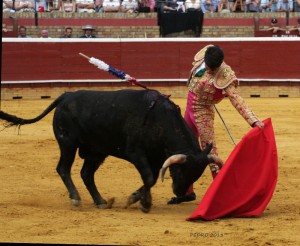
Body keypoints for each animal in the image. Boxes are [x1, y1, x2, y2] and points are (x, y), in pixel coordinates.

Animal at [0, 89, 220, 212]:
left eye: (196, 175)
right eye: (181, 171)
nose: (180, 193)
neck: (158, 119)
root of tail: (66, 96)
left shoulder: (156, 159)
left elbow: (150, 179)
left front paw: (139, 199)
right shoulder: (136, 154)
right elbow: (149, 178)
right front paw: (141, 202)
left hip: (96, 151)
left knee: (86, 173)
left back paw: (100, 201)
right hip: (68, 143)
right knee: (63, 168)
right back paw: (75, 198)